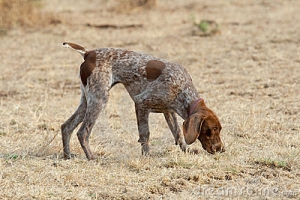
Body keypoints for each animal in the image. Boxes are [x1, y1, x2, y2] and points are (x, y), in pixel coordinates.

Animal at [61, 43, 225, 160]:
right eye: (213, 129)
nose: (221, 149)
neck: (182, 87)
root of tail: (88, 53)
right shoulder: (141, 104)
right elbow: (145, 134)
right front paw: (147, 156)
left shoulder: (168, 111)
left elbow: (178, 133)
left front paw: (186, 150)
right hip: (100, 99)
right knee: (83, 132)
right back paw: (91, 157)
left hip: (87, 101)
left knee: (66, 127)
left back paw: (67, 156)